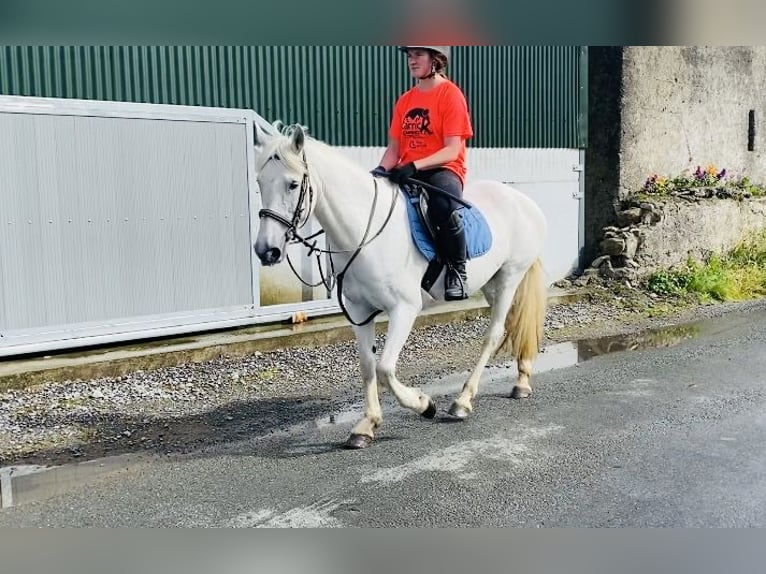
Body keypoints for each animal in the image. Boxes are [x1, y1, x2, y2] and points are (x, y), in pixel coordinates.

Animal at [255, 124, 548, 452]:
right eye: (260, 182)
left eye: (293, 184)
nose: (266, 251)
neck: (365, 232)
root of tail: (524, 201)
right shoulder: (359, 311)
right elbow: (368, 365)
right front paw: (366, 426)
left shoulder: (404, 309)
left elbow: (385, 368)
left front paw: (424, 405)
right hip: (490, 284)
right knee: (512, 325)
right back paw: (521, 380)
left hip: (511, 276)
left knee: (493, 334)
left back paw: (463, 401)